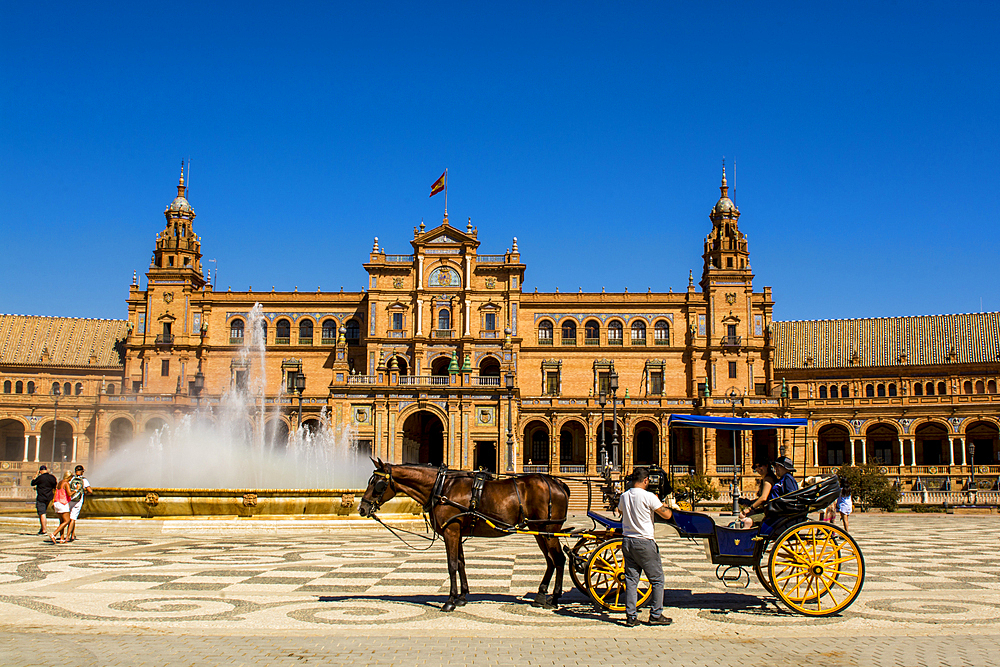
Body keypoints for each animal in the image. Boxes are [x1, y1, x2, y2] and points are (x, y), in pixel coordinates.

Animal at [358, 462, 572, 612]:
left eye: (378, 484)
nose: (362, 508)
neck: (441, 487)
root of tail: (558, 482)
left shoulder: (451, 530)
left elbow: (452, 564)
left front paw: (450, 601)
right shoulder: (457, 532)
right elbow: (461, 562)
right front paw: (462, 597)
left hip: (549, 529)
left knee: (559, 559)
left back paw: (554, 598)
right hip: (538, 529)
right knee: (551, 560)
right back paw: (541, 595)